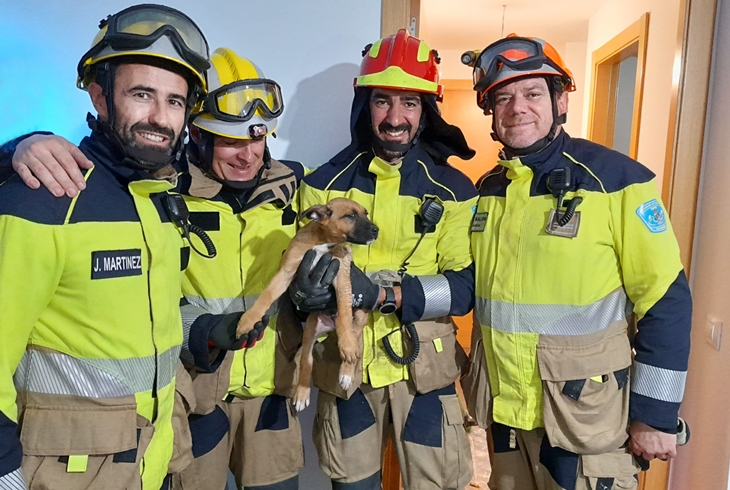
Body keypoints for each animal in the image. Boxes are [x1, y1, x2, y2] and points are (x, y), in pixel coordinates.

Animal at [236, 197, 378, 412]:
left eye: (365, 214)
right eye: (351, 216)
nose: (376, 230)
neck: (323, 243)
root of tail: (330, 327)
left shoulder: (342, 278)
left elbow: (345, 313)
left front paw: (347, 345)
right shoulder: (286, 272)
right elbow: (266, 296)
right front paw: (248, 321)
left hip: (361, 316)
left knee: (354, 340)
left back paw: (346, 367)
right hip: (310, 329)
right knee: (306, 361)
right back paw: (302, 393)